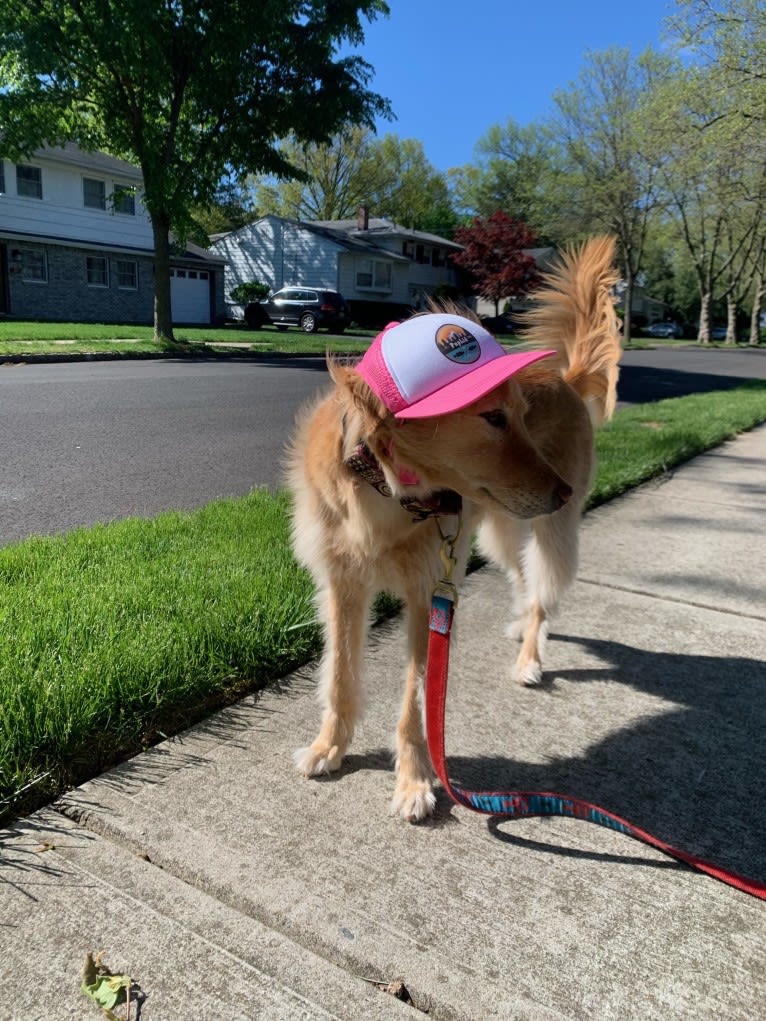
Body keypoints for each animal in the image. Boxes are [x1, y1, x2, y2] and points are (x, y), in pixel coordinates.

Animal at [290, 233, 625, 820]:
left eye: (521, 414)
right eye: (491, 417)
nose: (561, 489)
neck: (386, 491)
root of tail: (561, 377)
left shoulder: (429, 593)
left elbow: (418, 695)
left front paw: (414, 780)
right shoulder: (342, 586)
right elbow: (339, 677)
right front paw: (329, 746)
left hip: (551, 530)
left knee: (544, 589)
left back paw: (530, 656)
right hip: (498, 530)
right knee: (524, 579)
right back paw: (521, 624)